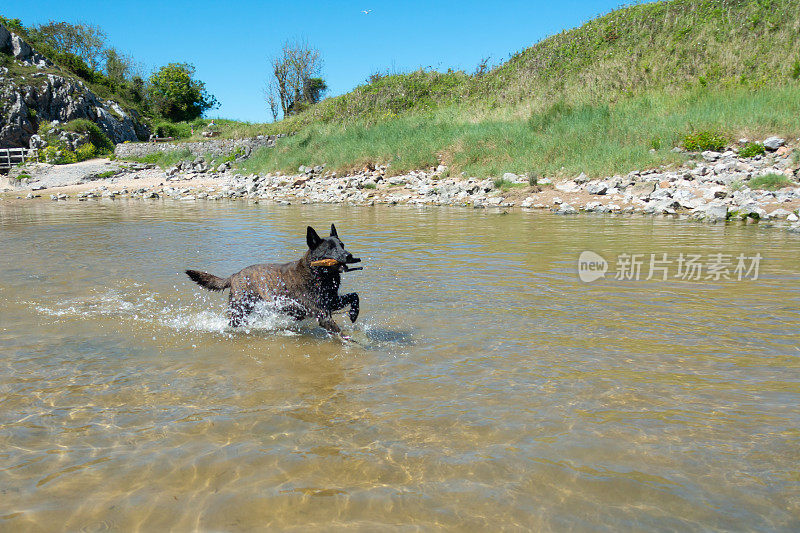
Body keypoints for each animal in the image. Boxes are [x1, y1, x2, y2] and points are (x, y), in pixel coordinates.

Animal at [184, 223, 360, 332]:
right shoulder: (322, 313)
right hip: (239, 310)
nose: (349, 255)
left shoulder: (332, 302)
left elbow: (355, 296)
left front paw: (353, 314)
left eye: (342, 245)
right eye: (330, 248)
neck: (318, 274)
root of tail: (234, 275)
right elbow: (340, 333)